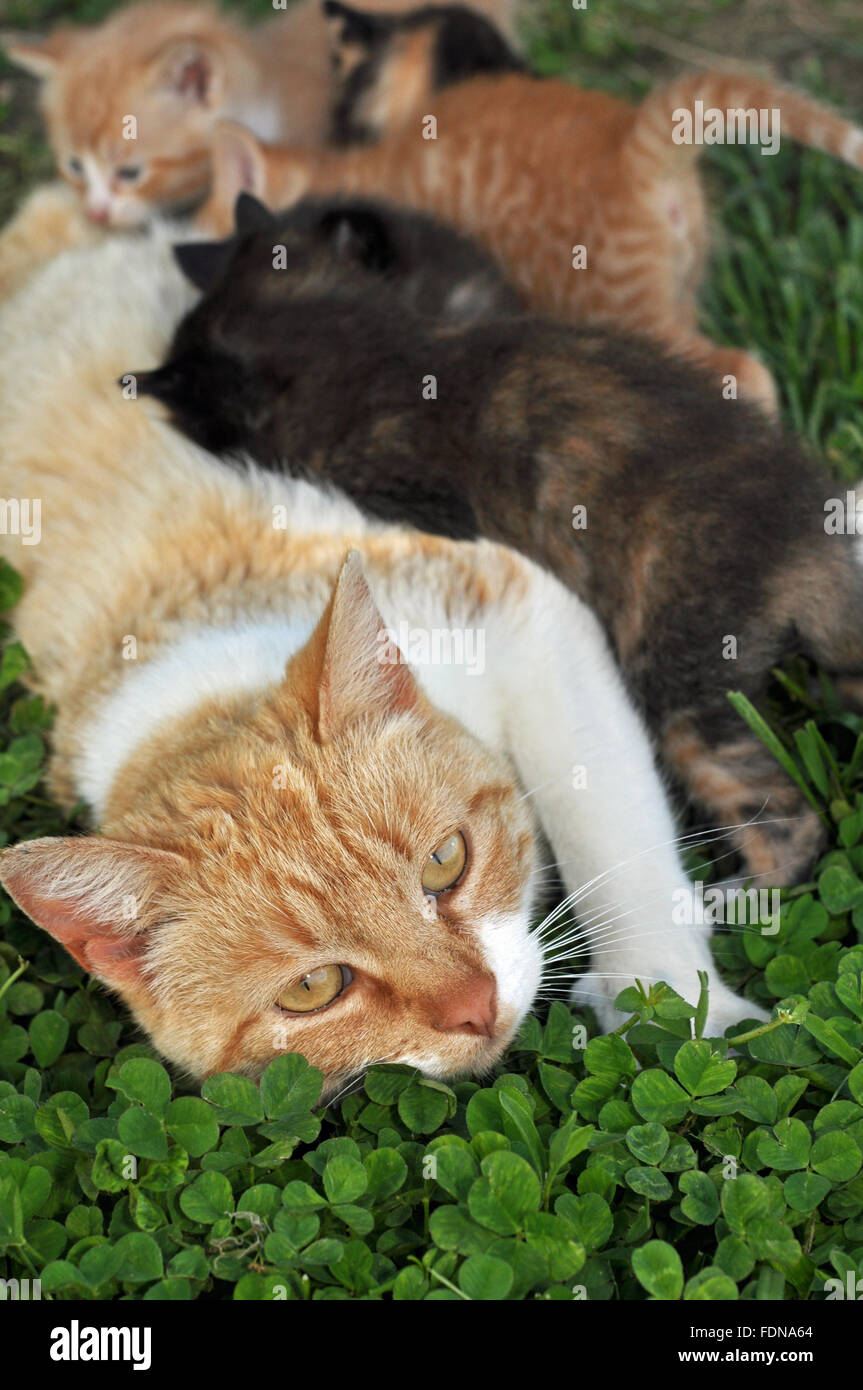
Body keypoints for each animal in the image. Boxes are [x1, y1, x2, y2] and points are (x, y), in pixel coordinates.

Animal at [0, 198, 755, 1084]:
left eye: (445, 863)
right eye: (313, 989)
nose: (472, 1009)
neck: (191, 668)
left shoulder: (516, 604)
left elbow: (610, 820)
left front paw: (663, 990)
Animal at [194, 1, 861, 411]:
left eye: (212, 227)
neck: (336, 169)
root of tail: (632, 145)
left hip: (622, 309)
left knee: (741, 369)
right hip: (683, 289)